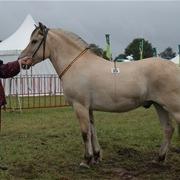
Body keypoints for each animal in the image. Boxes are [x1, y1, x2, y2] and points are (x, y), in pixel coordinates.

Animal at [19, 22, 180, 167]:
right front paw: (96, 157)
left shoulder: (80, 106)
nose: (22, 60)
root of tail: (175, 67)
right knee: (168, 129)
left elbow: (85, 133)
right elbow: (92, 131)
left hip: (173, 108)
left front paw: (86, 160)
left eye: (34, 41)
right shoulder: (88, 108)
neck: (76, 64)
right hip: (159, 106)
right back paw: (159, 159)